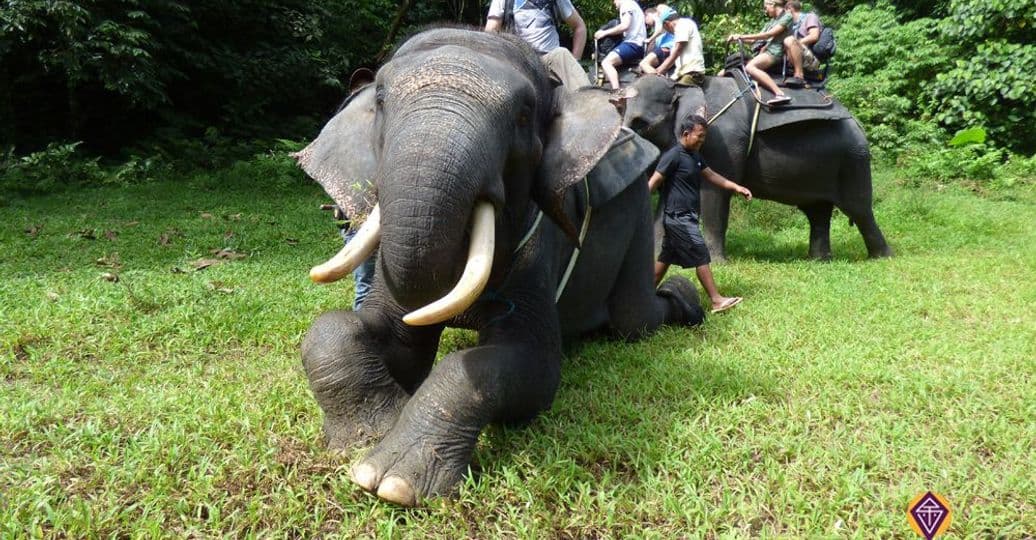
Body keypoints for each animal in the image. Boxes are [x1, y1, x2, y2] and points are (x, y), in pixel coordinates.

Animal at [296, 26, 708, 505]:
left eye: (524, 115)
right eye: (380, 100)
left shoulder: (538, 246)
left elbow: (531, 367)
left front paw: (392, 480)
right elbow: (366, 337)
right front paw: (371, 432)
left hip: (637, 207)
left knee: (634, 319)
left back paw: (686, 300)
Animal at [617, 74, 895, 260]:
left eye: (641, 124)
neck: (683, 86)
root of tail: (857, 122)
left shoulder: (722, 144)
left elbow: (715, 195)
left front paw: (717, 263)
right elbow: (667, 199)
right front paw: (657, 257)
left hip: (853, 160)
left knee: (859, 209)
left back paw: (882, 257)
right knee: (818, 212)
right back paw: (819, 260)